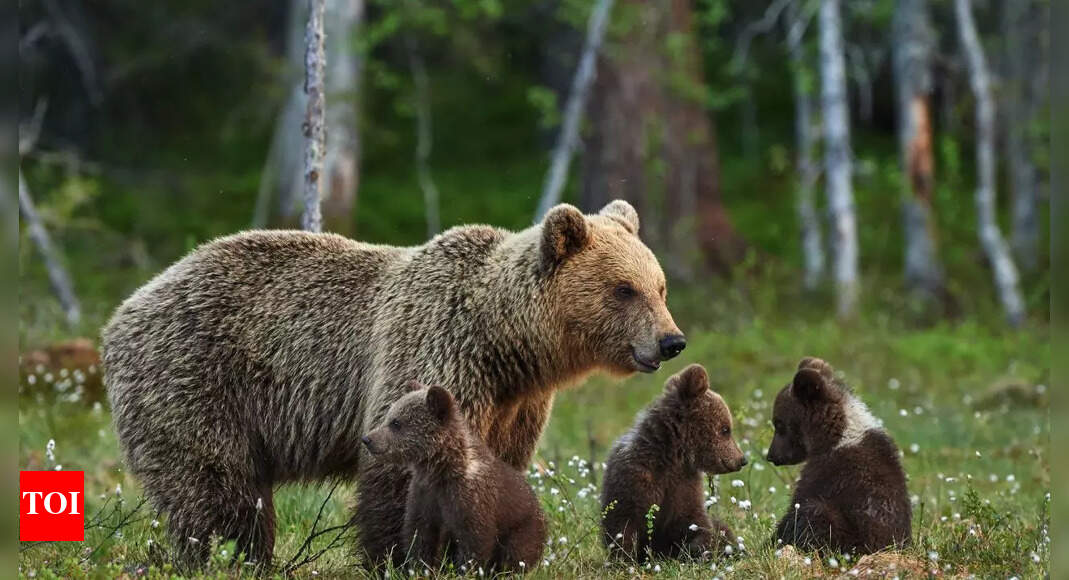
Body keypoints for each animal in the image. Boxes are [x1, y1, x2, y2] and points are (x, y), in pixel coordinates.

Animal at [362, 381, 546, 573]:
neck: (440, 468)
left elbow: (475, 541)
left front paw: (466, 570)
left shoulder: (471, 499)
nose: (367, 439)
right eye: (389, 416)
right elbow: (420, 535)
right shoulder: (424, 495)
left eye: (396, 423)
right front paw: (419, 568)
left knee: (516, 554)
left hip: (523, 529)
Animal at [600, 363, 746, 562]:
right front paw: (624, 558)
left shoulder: (684, 486)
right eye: (726, 429)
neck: (672, 456)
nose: (742, 459)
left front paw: (701, 550)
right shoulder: (634, 478)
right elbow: (623, 525)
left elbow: (696, 523)